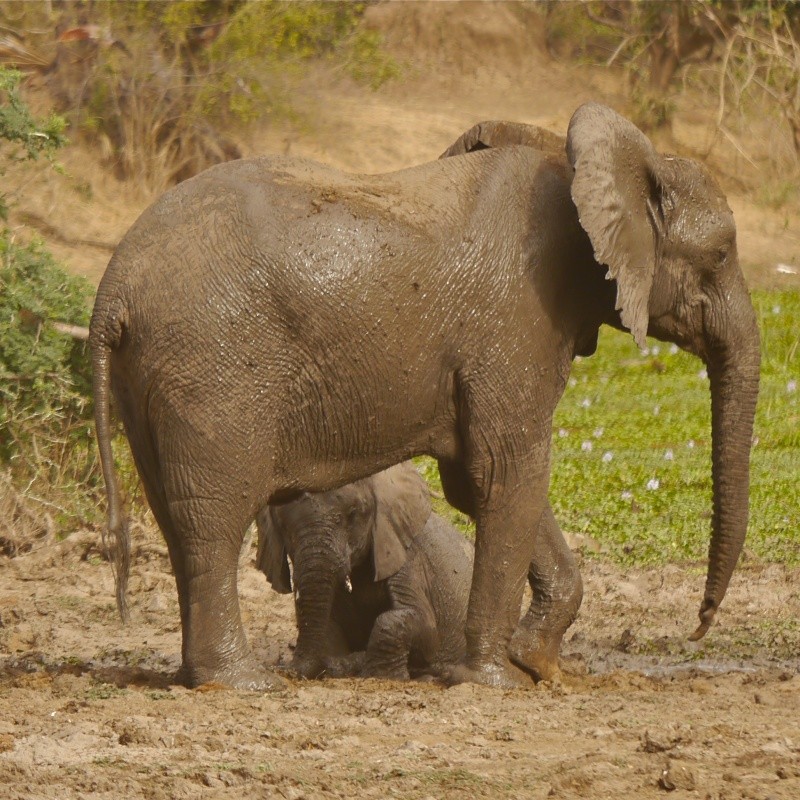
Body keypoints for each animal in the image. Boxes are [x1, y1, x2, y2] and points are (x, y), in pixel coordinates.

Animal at [256, 462, 472, 680]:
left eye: (353, 514)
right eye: (283, 527)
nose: (286, 670)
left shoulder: (406, 556)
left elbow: (425, 629)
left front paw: (381, 675)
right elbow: (328, 631)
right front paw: (343, 663)